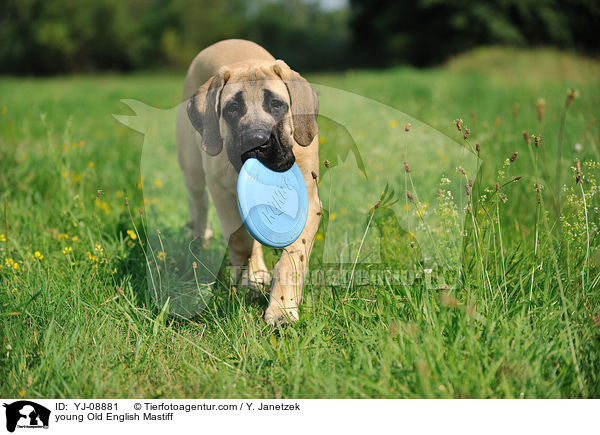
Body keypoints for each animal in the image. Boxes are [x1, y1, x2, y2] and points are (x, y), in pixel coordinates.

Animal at [176, 40, 322, 328]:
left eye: (276, 105)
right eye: (232, 108)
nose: (257, 140)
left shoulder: (310, 204)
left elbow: (292, 258)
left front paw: (282, 309)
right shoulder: (223, 194)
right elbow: (240, 239)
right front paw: (248, 280)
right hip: (193, 170)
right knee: (198, 204)